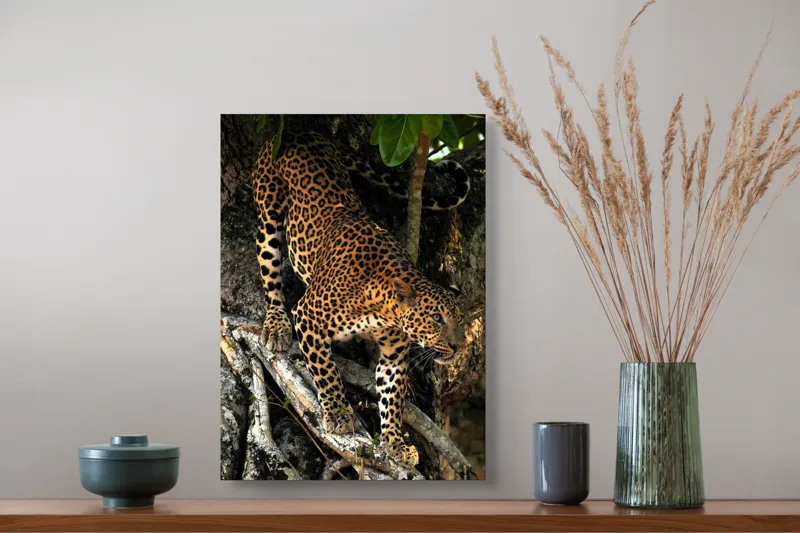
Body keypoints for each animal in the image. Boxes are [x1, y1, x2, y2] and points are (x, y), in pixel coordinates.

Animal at [250, 130, 470, 466]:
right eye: (437, 318)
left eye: (458, 319)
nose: (460, 346)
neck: (382, 306)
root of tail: (300, 132)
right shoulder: (308, 317)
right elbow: (326, 371)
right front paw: (338, 415)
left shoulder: (393, 354)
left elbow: (391, 397)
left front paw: (394, 442)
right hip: (268, 212)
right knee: (269, 271)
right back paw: (276, 326)